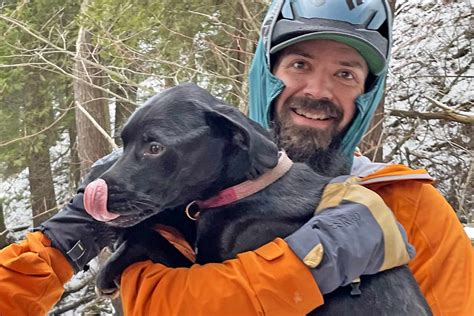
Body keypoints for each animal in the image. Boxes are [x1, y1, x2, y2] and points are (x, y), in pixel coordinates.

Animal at [87, 82, 432, 314]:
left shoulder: (211, 269)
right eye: (124, 142)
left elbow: (156, 241)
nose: (93, 192)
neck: (246, 189)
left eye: (155, 147)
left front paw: (112, 265)